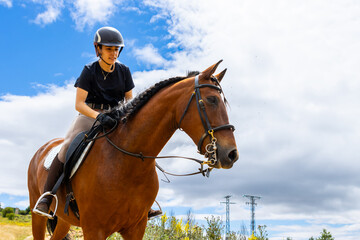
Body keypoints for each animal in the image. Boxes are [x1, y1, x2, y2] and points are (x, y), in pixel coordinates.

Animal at [28, 60, 239, 238]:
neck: (127, 162)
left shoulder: (136, 227)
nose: (232, 154)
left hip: (64, 221)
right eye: (211, 100)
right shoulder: (94, 229)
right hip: (38, 215)